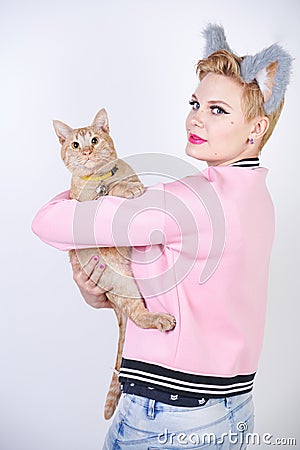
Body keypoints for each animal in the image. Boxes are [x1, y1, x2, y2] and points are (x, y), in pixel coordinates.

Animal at [53, 109, 176, 418]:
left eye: (95, 140)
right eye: (75, 145)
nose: (86, 151)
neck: (101, 177)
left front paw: (132, 184)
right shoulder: (87, 206)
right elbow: (111, 192)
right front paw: (128, 188)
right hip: (126, 283)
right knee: (138, 315)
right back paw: (159, 318)